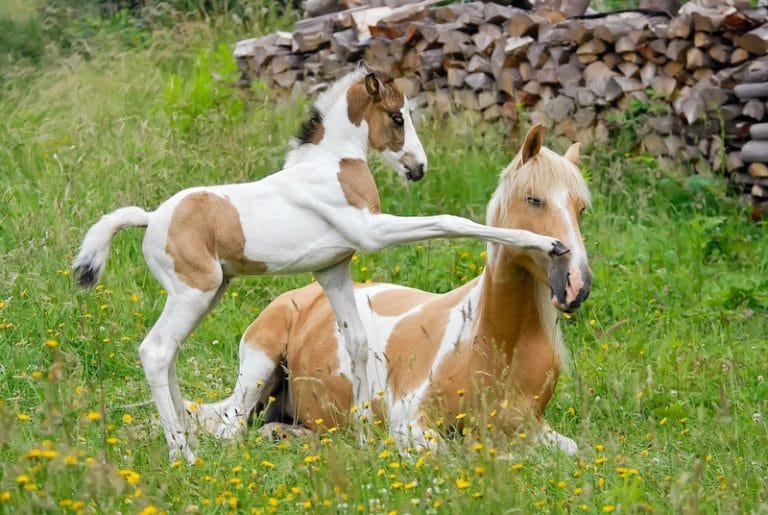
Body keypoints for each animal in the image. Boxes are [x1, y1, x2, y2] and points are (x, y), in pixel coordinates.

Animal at [194, 123, 591, 454]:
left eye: (581, 209)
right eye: (533, 199)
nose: (578, 284)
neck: (496, 346)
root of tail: (300, 296)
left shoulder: (535, 427)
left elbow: (572, 450)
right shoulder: (410, 425)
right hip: (258, 366)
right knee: (231, 428)